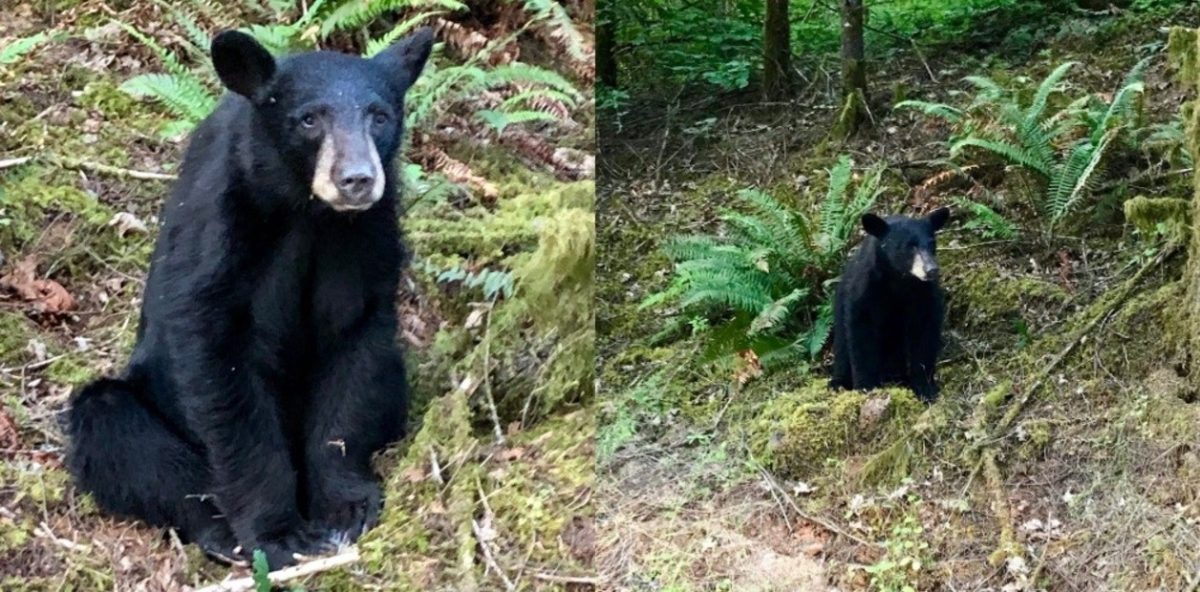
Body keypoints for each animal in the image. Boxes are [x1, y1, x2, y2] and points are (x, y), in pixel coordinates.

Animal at [63, 27, 434, 568]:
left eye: (380, 116)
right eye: (309, 118)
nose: (357, 179)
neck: (306, 212)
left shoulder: (367, 237)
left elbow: (355, 347)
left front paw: (344, 506)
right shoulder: (221, 228)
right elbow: (221, 368)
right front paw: (277, 532)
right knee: (115, 429)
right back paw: (219, 530)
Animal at [829, 207, 950, 403]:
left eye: (932, 244)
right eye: (909, 246)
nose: (931, 269)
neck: (899, 280)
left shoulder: (925, 294)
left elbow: (925, 334)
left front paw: (925, 388)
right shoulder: (865, 288)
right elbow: (860, 333)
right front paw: (866, 387)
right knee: (841, 344)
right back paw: (838, 383)